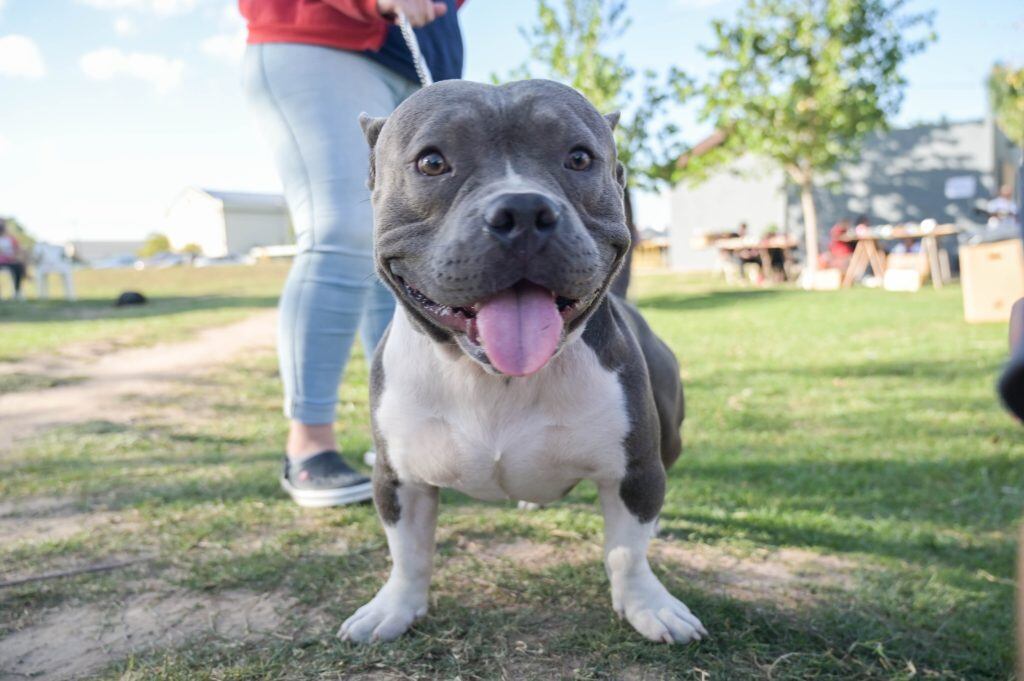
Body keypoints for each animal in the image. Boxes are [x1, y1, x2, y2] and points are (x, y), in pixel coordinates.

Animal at [339, 78, 708, 643]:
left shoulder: (634, 470)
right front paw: (395, 607)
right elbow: (408, 553)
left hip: (668, 434)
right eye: (431, 162)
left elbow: (627, 553)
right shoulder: (399, 479)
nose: (524, 211)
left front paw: (648, 605)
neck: (492, 379)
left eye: (579, 158)